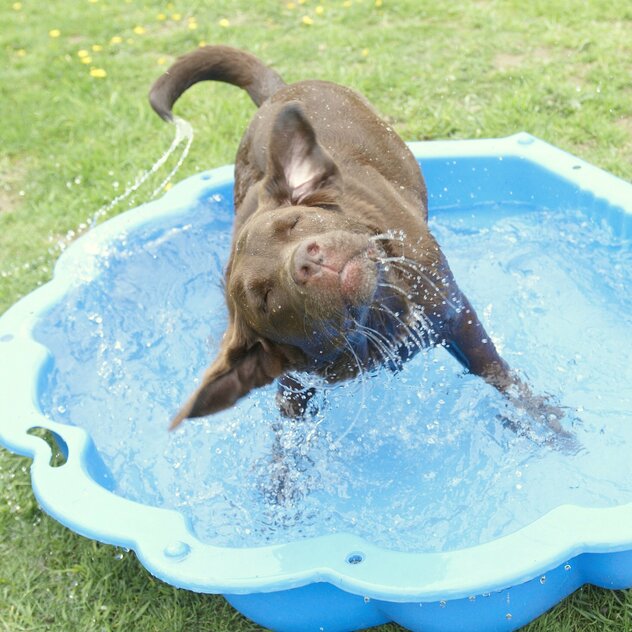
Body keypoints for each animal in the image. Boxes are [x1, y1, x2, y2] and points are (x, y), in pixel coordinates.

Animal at [151, 45, 564, 434]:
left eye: (293, 224)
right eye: (265, 297)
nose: (308, 260)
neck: (379, 318)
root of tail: (278, 92)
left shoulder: (453, 311)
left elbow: (492, 369)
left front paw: (542, 420)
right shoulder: (295, 381)